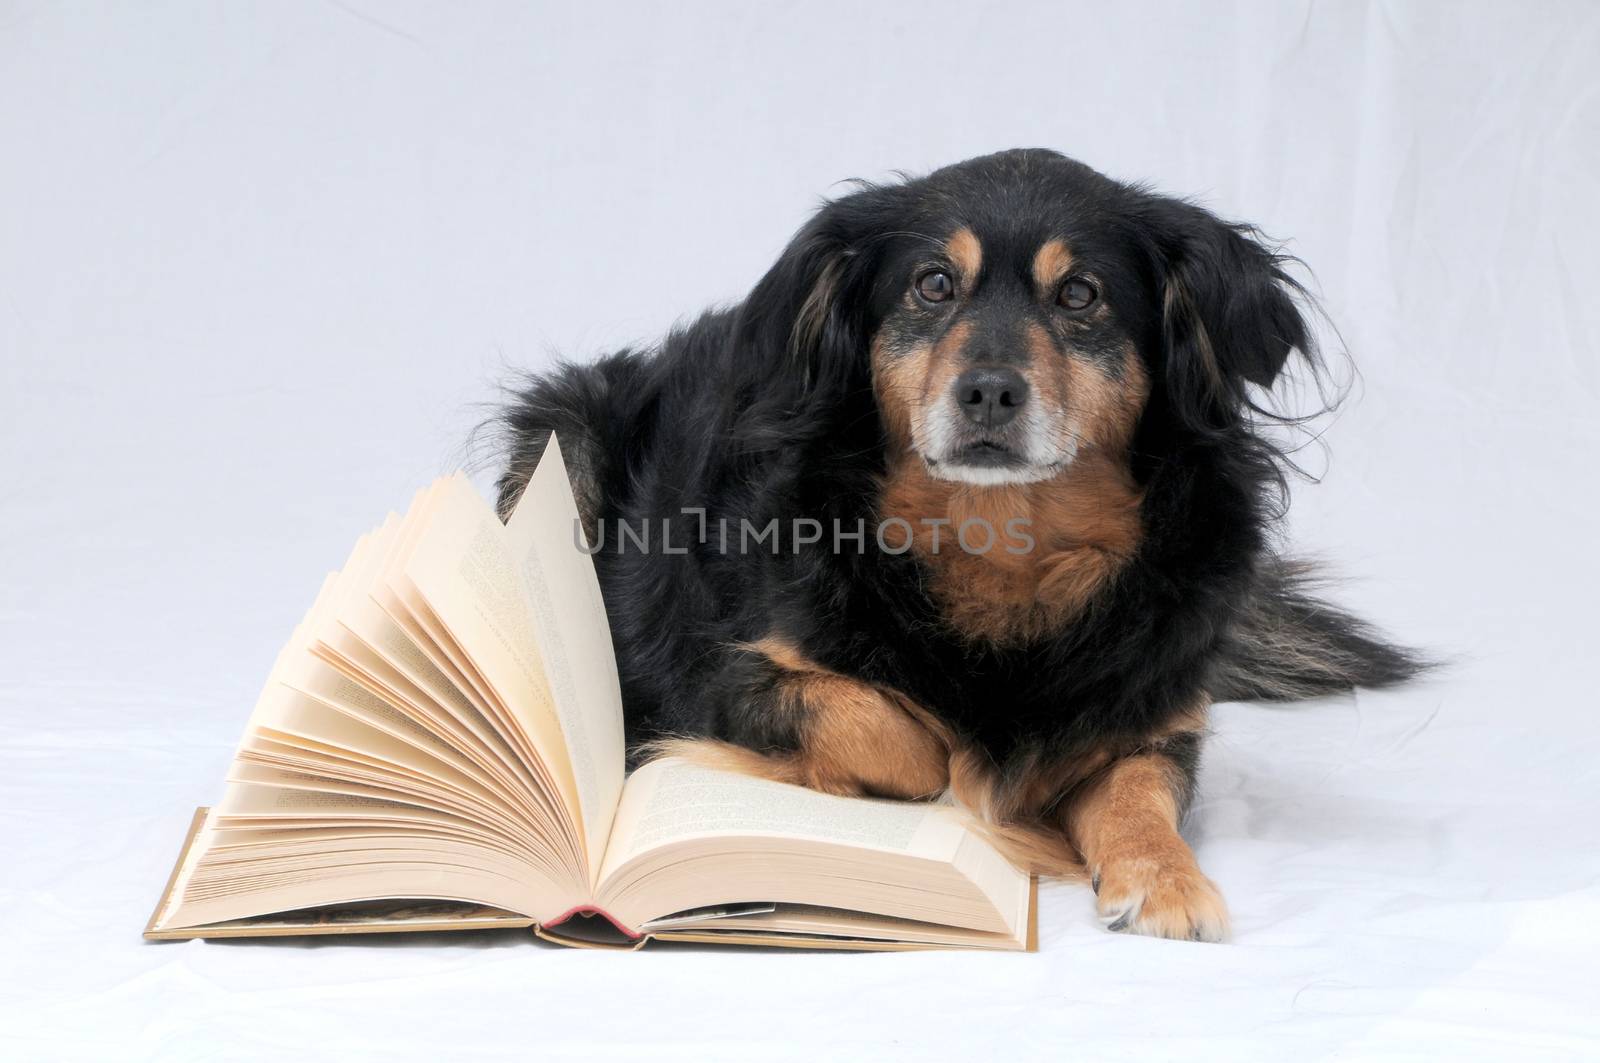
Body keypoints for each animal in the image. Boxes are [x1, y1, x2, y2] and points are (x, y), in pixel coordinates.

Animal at [492, 147, 1420, 941]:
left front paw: (1167, 878)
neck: (1002, 543)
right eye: (933, 284)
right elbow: (905, 739)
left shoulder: (1158, 716)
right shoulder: (727, 674)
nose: (989, 391)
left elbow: (1139, 793)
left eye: (1079, 295)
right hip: (565, 433)